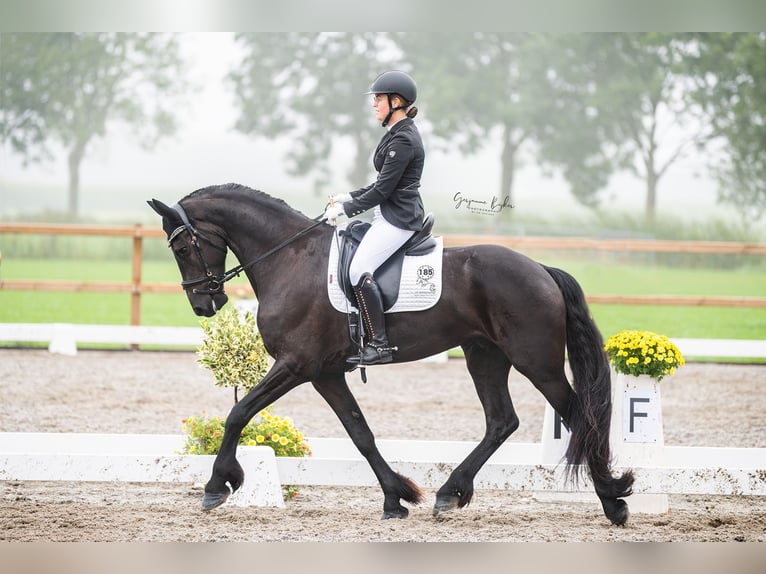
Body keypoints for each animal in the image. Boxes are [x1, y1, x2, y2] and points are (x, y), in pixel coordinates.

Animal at [147, 182, 634, 525]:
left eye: (183, 247)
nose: (204, 304)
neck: (291, 259)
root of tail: (541, 269)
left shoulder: (296, 365)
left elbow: (239, 412)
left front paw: (218, 484)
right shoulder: (325, 374)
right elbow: (361, 434)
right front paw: (396, 497)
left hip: (537, 362)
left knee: (577, 416)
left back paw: (613, 502)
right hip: (484, 355)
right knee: (502, 421)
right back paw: (450, 492)